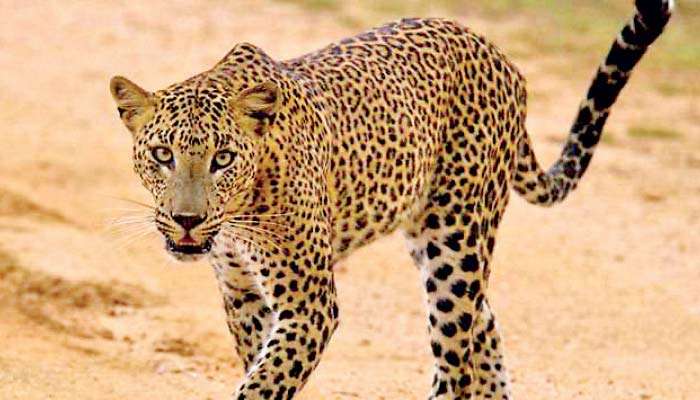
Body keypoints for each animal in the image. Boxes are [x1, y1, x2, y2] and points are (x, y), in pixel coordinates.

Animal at [109, 1, 674, 398]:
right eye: (162, 154)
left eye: (223, 158)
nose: (187, 219)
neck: (240, 213)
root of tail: (499, 55)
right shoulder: (242, 291)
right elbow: (263, 365)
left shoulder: (310, 303)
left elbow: (266, 381)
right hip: (434, 235)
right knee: (485, 328)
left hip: (456, 242)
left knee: (455, 360)